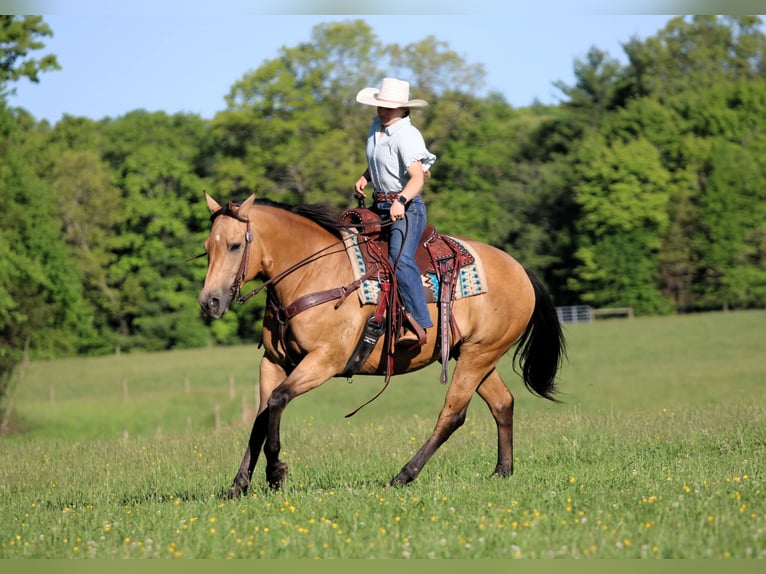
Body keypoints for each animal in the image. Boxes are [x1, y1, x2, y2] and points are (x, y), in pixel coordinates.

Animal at [197, 192, 566, 498]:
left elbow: (277, 401)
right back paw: (502, 470)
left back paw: (404, 475)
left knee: (453, 414)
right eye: (207, 247)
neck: (313, 274)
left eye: (234, 245)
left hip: (479, 355)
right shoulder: (274, 362)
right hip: (476, 354)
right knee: (502, 403)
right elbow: (261, 417)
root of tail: (519, 269)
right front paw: (238, 485)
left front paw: (275, 472)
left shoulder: (324, 360)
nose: (209, 301)